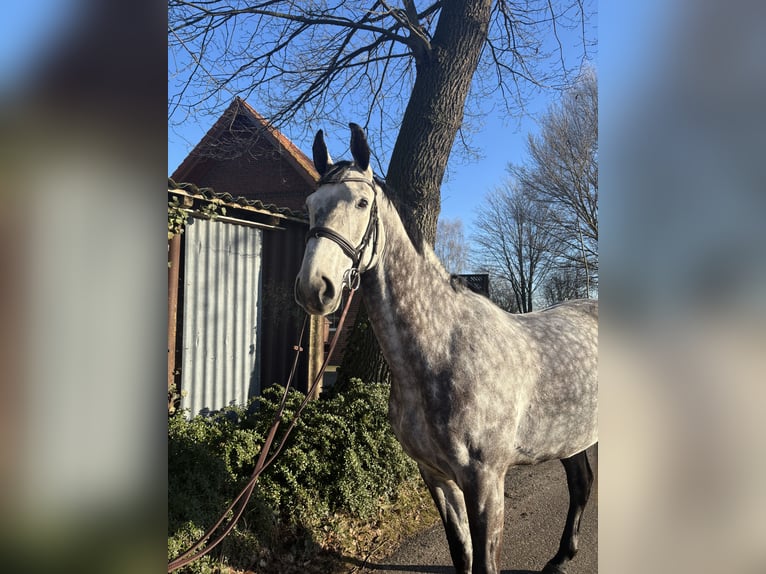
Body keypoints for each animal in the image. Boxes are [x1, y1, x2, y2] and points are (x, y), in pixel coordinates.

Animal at [296, 126, 600, 574]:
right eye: (310, 205)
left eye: (362, 202)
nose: (314, 287)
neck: (441, 351)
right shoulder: (436, 476)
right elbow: (461, 552)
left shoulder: (486, 481)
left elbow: (484, 562)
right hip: (570, 438)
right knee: (581, 484)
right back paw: (560, 558)